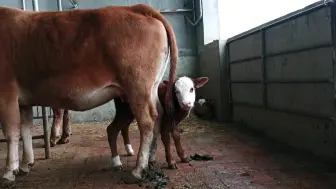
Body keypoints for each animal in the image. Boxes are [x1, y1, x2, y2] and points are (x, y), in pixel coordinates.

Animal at [0, 3, 177, 185]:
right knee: (158, 117)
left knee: (147, 121)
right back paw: (150, 160)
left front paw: (9, 172)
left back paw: (139, 169)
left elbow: (11, 131)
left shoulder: (6, 93)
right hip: (151, 88)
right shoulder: (23, 101)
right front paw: (25, 165)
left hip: (138, 87)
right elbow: (25, 130)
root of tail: (135, 8)